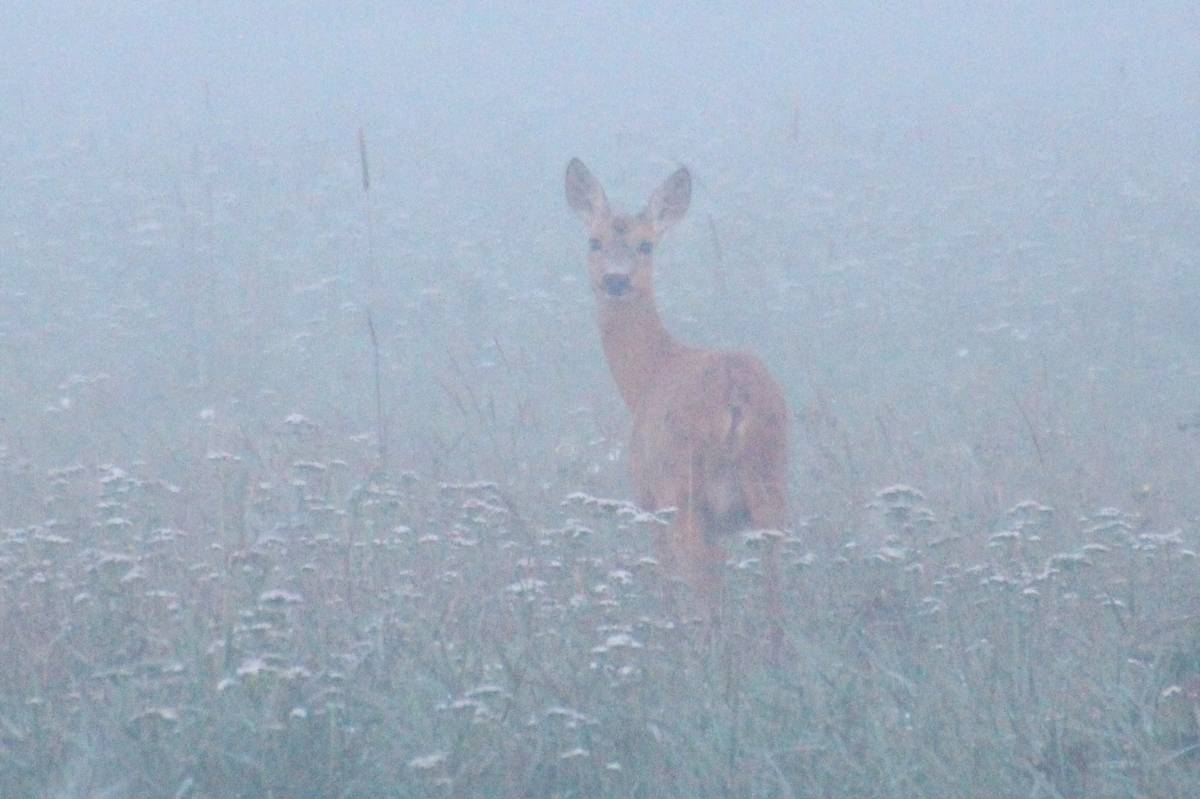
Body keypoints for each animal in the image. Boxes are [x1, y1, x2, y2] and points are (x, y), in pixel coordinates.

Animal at [566, 158, 792, 633]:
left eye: (645, 245)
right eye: (594, 241)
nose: (616, 280)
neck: (648, 376)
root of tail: (734, 396)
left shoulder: (646, 497)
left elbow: (667, 584)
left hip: (685, 490)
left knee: (704, 590)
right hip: (770, 481)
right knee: (772, 592)